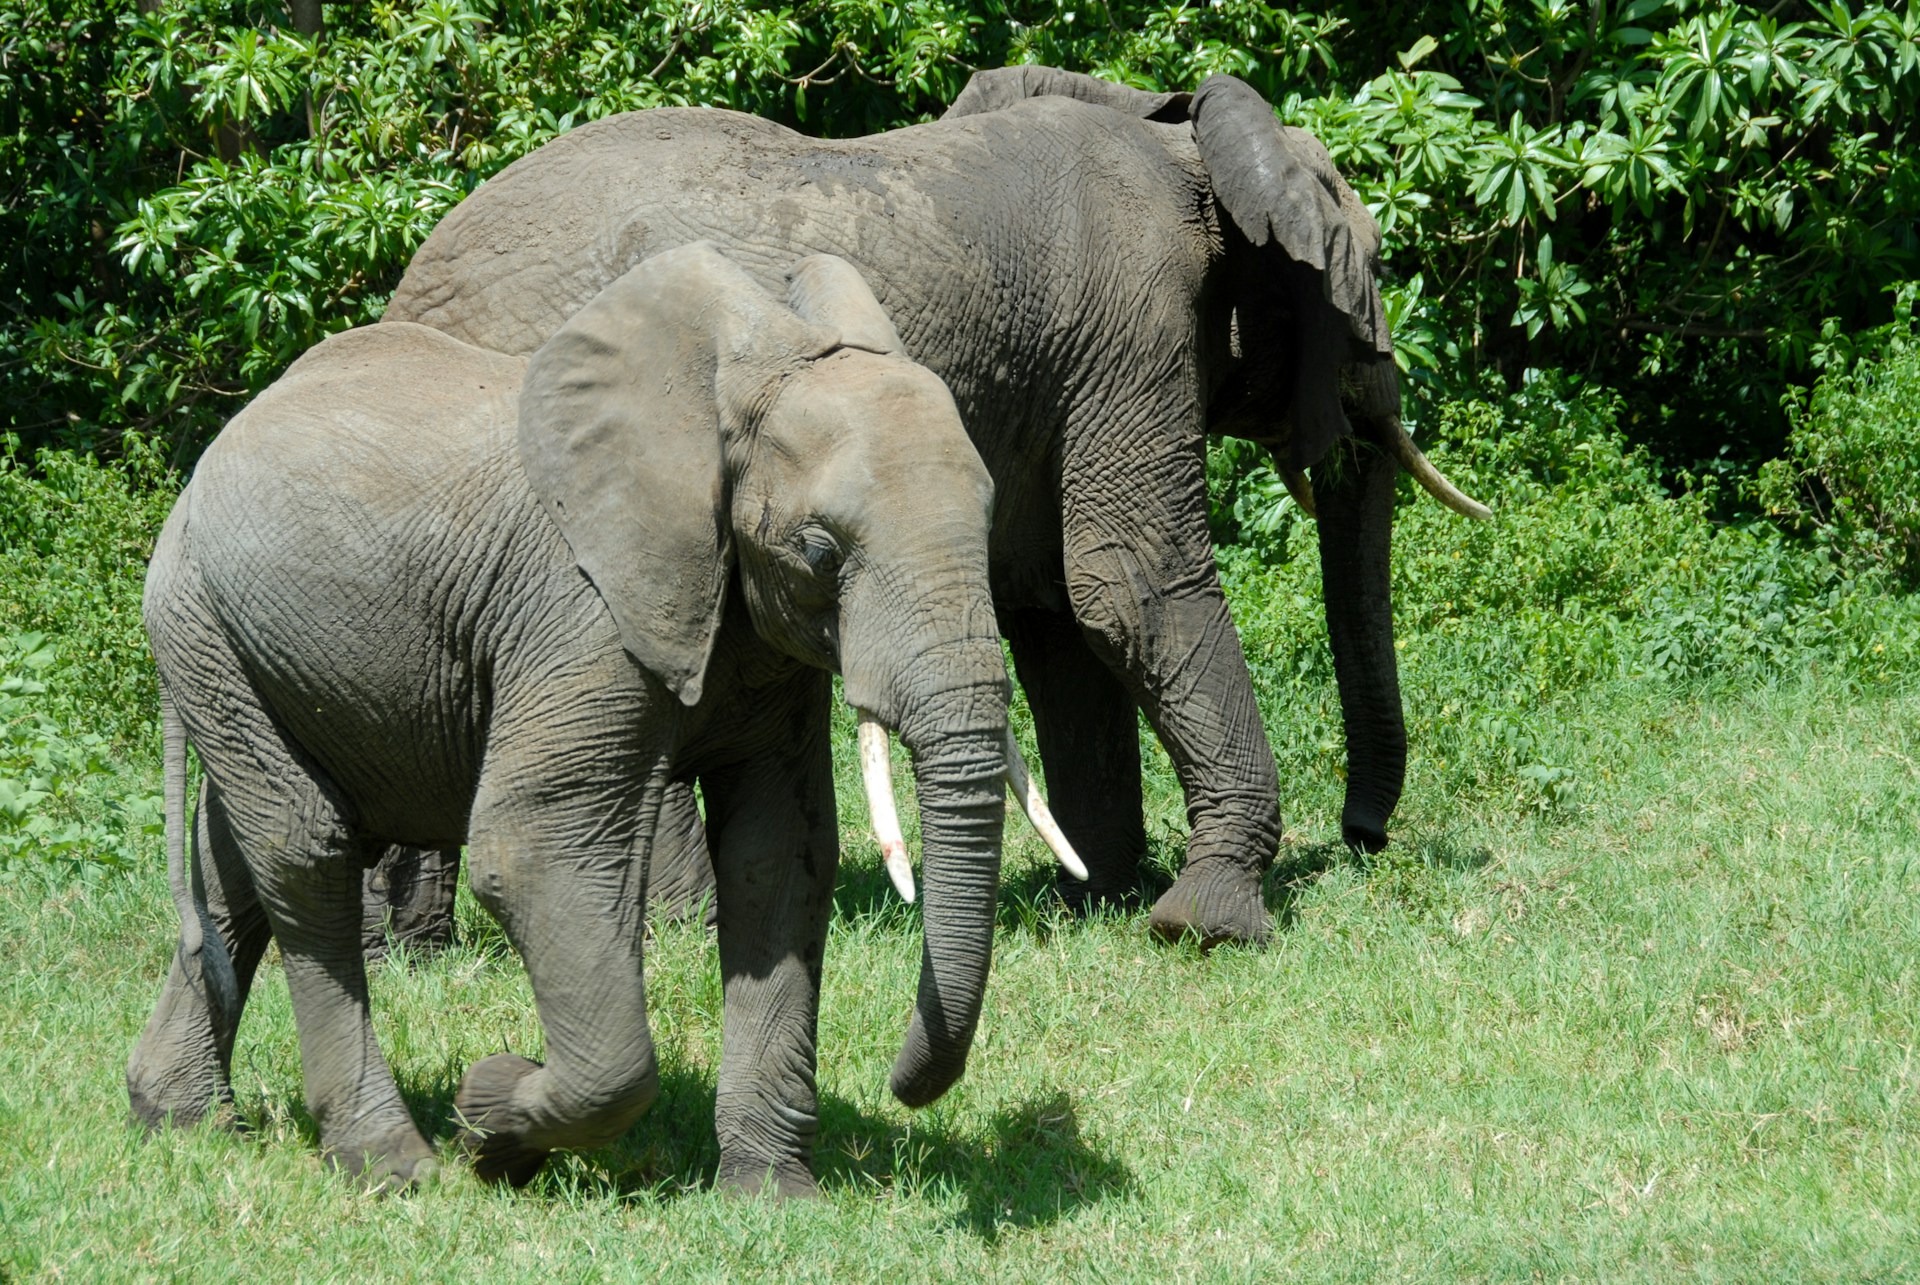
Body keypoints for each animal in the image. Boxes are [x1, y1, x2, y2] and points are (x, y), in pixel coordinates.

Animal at [126, 243, 1080, 1196]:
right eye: (820, 552)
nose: (896, 1079)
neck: (725, 393)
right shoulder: (579, 614)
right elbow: (533, 850)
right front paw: (490, 1114)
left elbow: (779, 853)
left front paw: (771, 1195)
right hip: (203, 625)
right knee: (306, 854)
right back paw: (392, 1163)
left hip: (246, 653)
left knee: (234, 861)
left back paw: (179, 1119)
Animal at [379, 67, 1488, 951]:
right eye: (1373, 268)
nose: (1364, 834)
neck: (1185, 145)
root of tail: (409, 292)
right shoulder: (1133, 327)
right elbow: (1127, 581)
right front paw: (1206, 922)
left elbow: (1056, 613)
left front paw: (1100, 893)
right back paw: (680, 929)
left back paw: (417, 952)